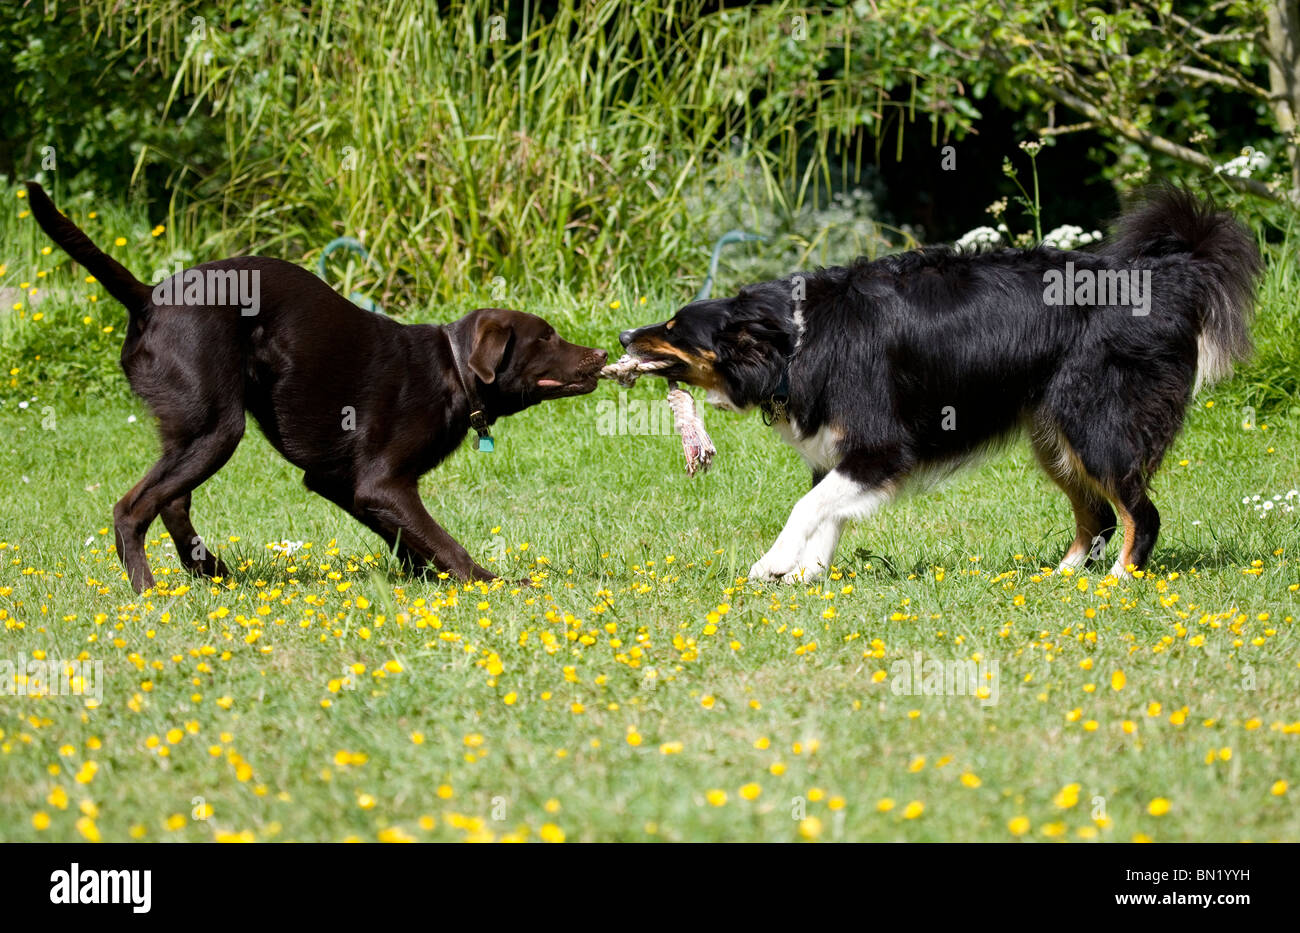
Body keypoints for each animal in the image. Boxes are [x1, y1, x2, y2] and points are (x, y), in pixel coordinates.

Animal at [25, 183, 603, 592]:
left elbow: (407, 538)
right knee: (134, 508)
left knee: (172, 501)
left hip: (192, 428)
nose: (599, 354)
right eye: (546, 336)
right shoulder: (381, 482)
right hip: (217, 427)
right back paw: (149, 590)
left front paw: (425, 578)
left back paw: (211, 571)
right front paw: (492, 583)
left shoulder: (340, 481)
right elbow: (442, 541)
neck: (453, 369)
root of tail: (147, 298)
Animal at [618, 188, 1258, 584]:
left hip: (1094, 423)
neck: (794, 341)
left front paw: (774, 565)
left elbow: (807, 508)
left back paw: (1121, 578)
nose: (623, 334)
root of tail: (1168, 276)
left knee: (1138, 512)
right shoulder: (839, 453)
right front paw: (808, 575)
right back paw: (1060, 575)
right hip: (1051, 435)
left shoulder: (881, 447)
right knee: (1098, 513)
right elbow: (828, 514)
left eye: (673, 328)